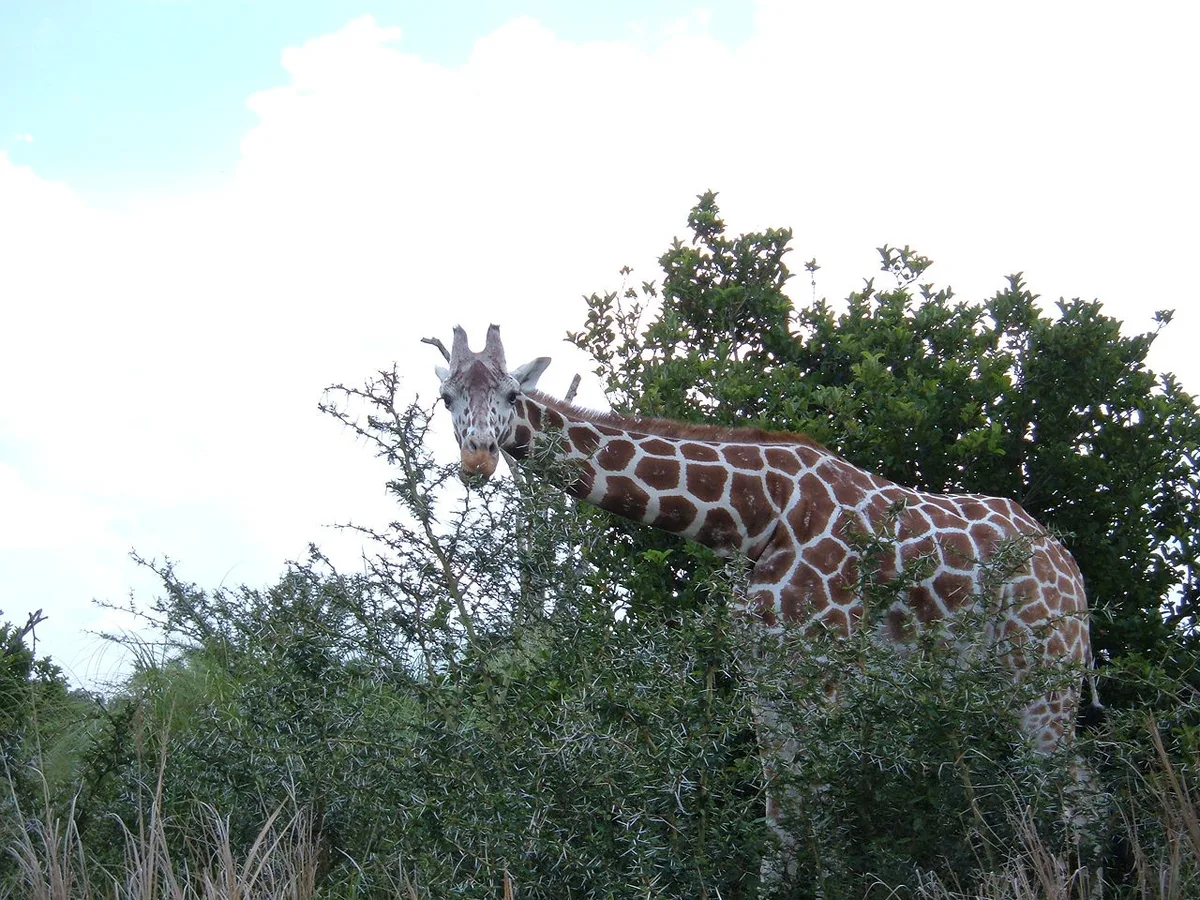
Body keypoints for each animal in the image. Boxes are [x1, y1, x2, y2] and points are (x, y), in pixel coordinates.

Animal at [431, 324, 1091, 871]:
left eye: (511, 395)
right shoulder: (765, 673)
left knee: (1068, 791)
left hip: (1045, 672)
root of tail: (1068, 564)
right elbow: (782, 814)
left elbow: (825, 811)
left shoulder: (827, 668)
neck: (755, 517)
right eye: (446, 399)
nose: (478, 459)